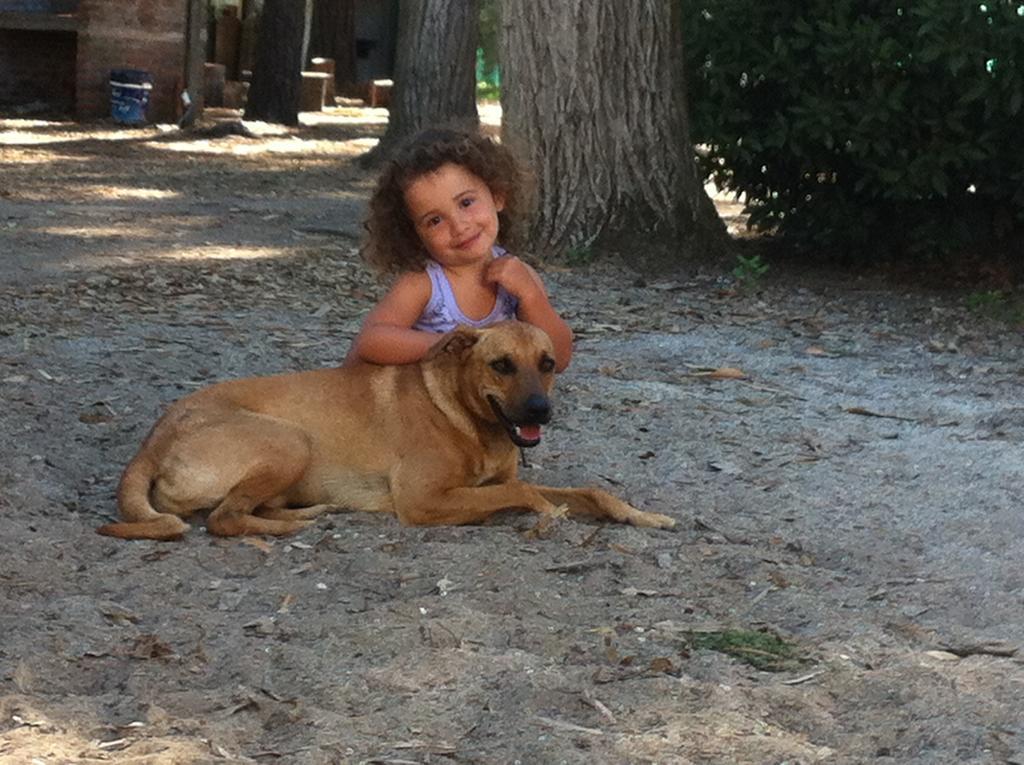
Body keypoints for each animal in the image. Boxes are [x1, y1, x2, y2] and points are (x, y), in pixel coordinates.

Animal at [94, 319, 671, 540]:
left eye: (547, 364)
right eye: (502, 365)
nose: (538, 412)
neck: (463, 416)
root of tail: (153, 437)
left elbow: (589, 490)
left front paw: (644, 515)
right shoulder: (423, 500)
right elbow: (526, 491)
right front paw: (546, 513)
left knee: (244, 509)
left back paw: (308, 512)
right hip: (289, 438)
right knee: (224, 519)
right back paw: (291, 529)